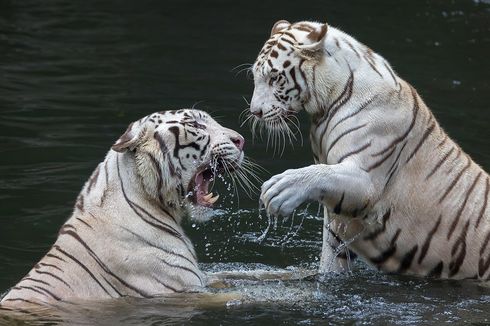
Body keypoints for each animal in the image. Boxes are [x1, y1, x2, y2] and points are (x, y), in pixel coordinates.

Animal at [249, 19, 490, 280]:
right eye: (255, 76)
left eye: (274, 78)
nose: (255, 112)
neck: (326, 104)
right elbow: (331, 257)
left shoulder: (367, 181)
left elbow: (321, 173)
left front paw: (278, 191)